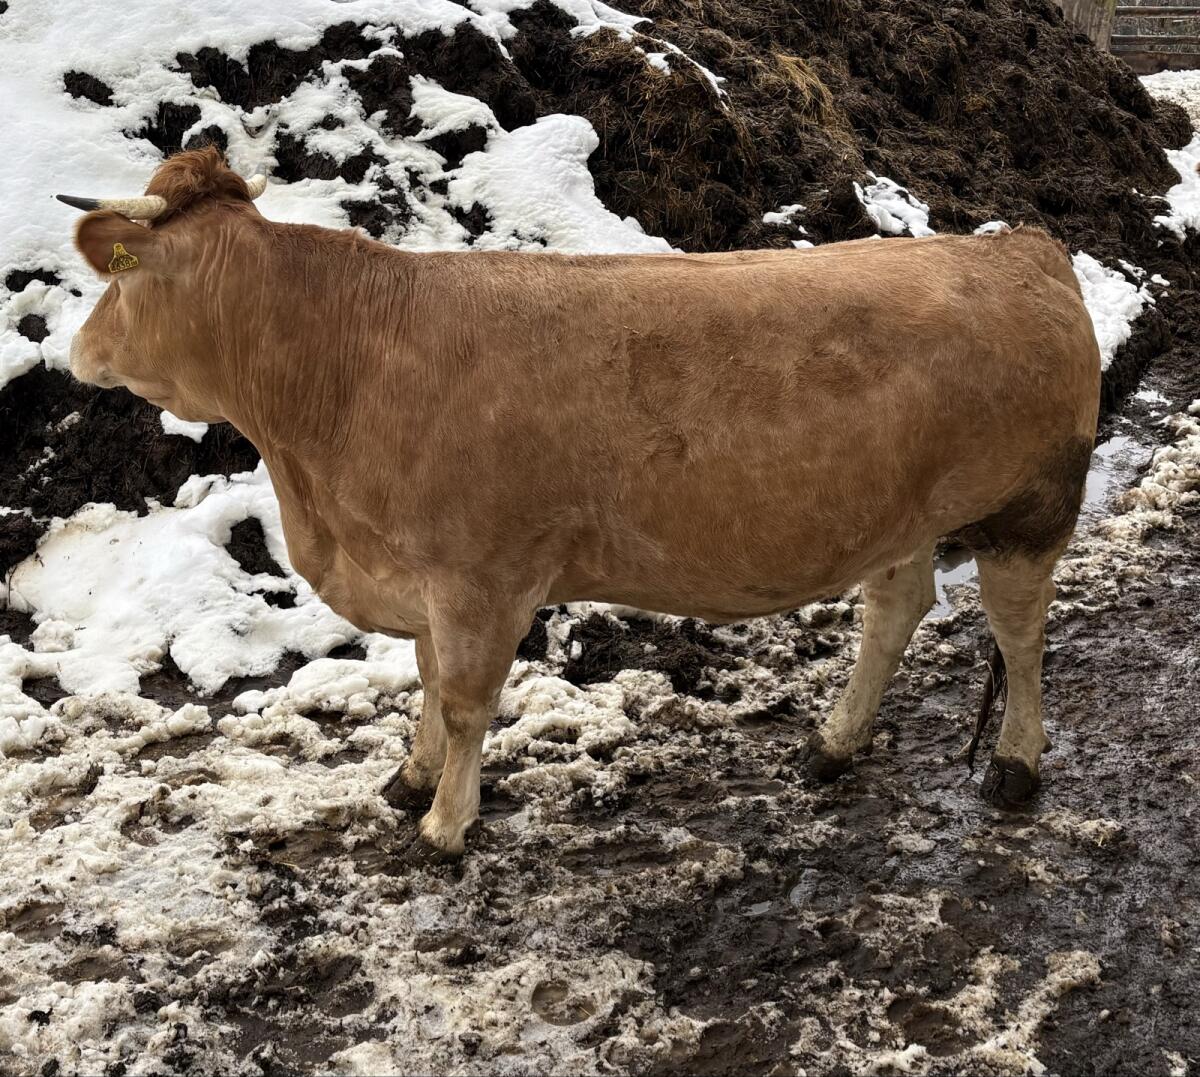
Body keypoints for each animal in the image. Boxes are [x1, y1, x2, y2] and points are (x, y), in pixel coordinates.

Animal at [58, 148, 1100, 859]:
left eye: (119, 278)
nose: (77, 351)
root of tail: (1023, 247)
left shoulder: (478, 576)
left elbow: (466, 698)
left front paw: (446, 825)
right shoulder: (423, 577)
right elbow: (427, 680)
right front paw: (410, 778)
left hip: (1030, 507)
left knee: (1018, 631)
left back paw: (1015, 765)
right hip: (896, 511)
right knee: (896, 607)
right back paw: (834, 744)